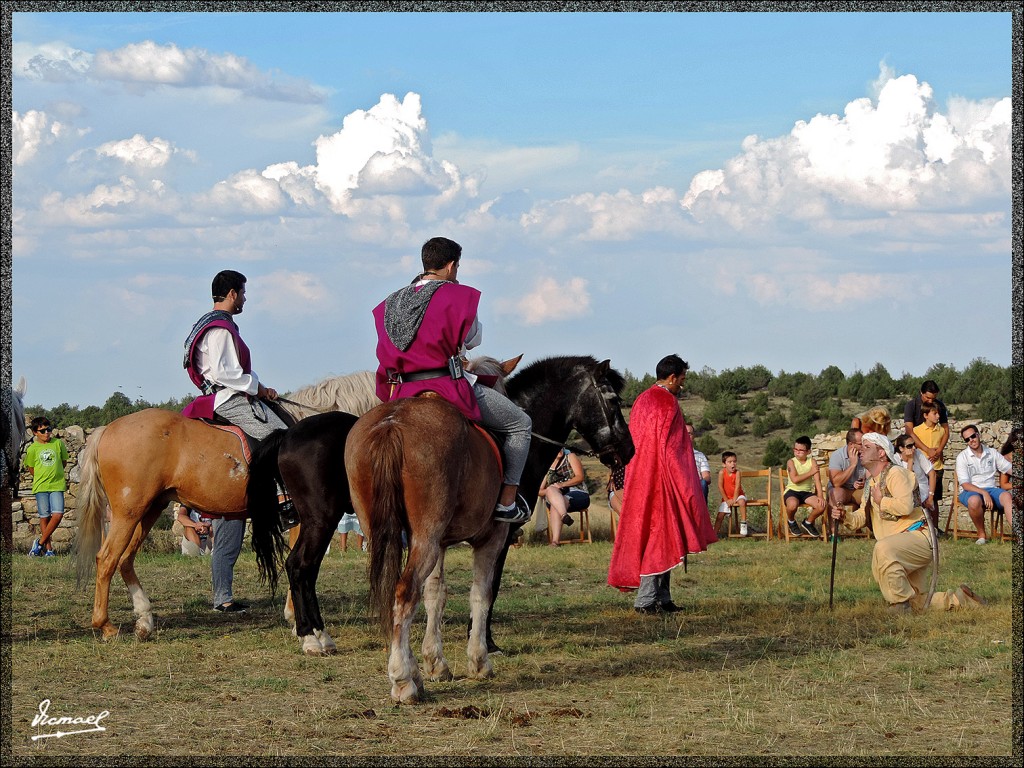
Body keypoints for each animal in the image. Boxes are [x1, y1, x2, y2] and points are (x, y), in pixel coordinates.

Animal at [246, 358, 630, 659]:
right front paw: (486, 641)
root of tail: (289, 434)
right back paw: (312, 636)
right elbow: (490, 586)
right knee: (300, 567)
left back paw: (315, 633)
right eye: (612, 400)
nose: (628, 450)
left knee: (303, 569)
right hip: (320, 519)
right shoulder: (499, 535)